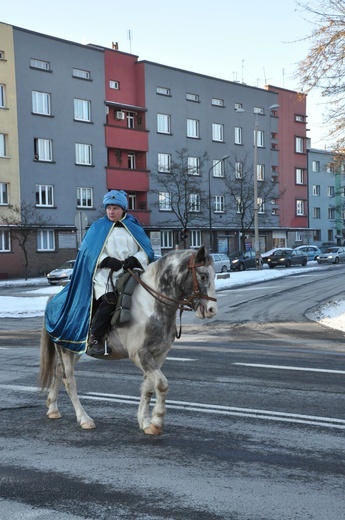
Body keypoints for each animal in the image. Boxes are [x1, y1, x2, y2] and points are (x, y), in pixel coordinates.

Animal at [39, 247, 216, 434]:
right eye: (203, 276)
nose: (212, 310)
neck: (151, 305)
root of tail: (53, 299)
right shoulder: (139, 354)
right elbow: (161, 384)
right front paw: (157, 421)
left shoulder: (159, 354)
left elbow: (148, 388)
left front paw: (145, 422)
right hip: (67, 350)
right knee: (69, 381)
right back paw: (84, 418)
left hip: (73, 349)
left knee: (58, 372)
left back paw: (53, 409)